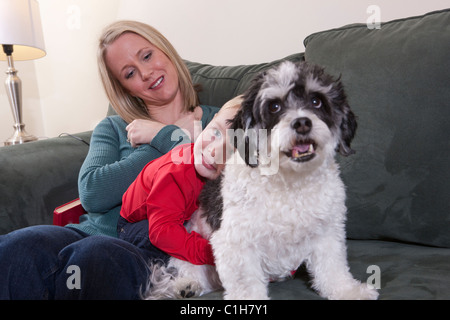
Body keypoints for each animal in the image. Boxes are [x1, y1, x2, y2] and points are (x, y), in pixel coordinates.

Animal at [146, 60, 378, 300]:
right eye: (274, 107)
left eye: (316, 101)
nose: (302, 123)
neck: (291, 183)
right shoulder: (236, 245)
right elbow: (246, 287)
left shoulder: (327, 233)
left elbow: (332, 268)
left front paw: (348, 290)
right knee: (188, 269)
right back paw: (186, 285)